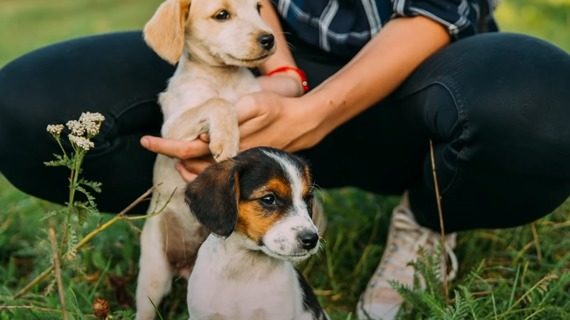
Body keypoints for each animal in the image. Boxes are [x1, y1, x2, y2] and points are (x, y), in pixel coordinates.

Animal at [134, 0, 274, 318]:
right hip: (153, 275)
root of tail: (186, 265)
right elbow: (216, 103)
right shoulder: (173, 129)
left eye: (259, 8)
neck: (224, 78)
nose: (269, 39)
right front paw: (226, 139)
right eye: (222, 15)